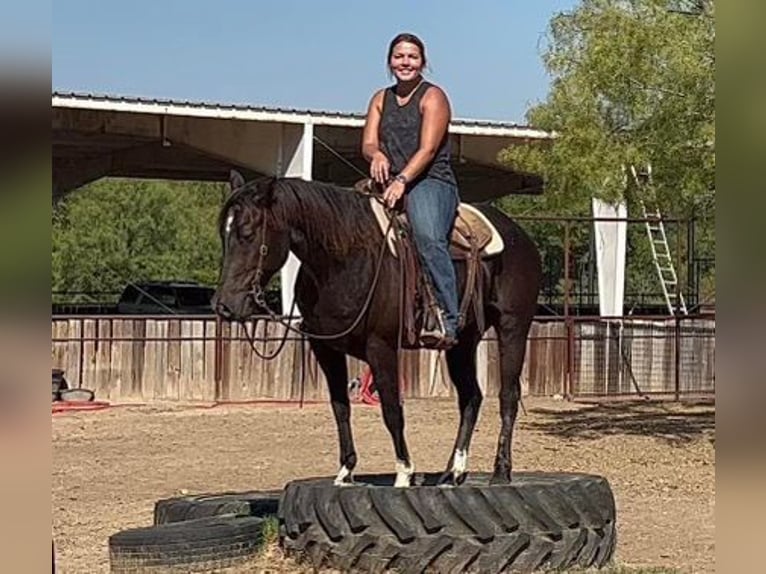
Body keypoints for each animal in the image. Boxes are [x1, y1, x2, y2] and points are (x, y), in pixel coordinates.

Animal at [213, 172, 544, 490]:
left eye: (248, 233)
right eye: (223, 234)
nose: (224, 305)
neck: (344, 259)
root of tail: (520, 236)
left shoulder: (380, 347)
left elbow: (391, 410)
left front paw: (404, 472)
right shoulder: (326, 348)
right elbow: (340, 407)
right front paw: (345, 471)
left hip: (513, 327)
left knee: (508, 395)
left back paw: (500, 472)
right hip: (462, 342)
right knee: (470, 397)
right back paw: (452, 472)